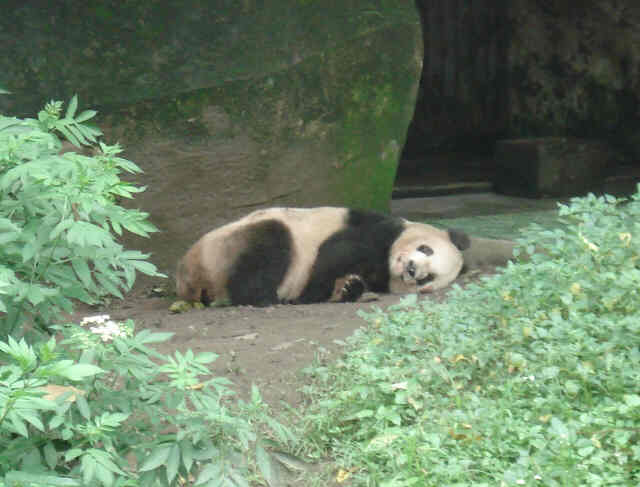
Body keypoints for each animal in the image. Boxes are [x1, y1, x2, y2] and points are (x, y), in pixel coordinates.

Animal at [175, 207, 480, 306]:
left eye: (427, 279)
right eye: (426, 249)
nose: (412, 269)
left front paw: (348, 288)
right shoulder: (373, 230)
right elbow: (335, 254)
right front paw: (313, 293)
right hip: (228, 243)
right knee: (270, 244)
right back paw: (264, 297)